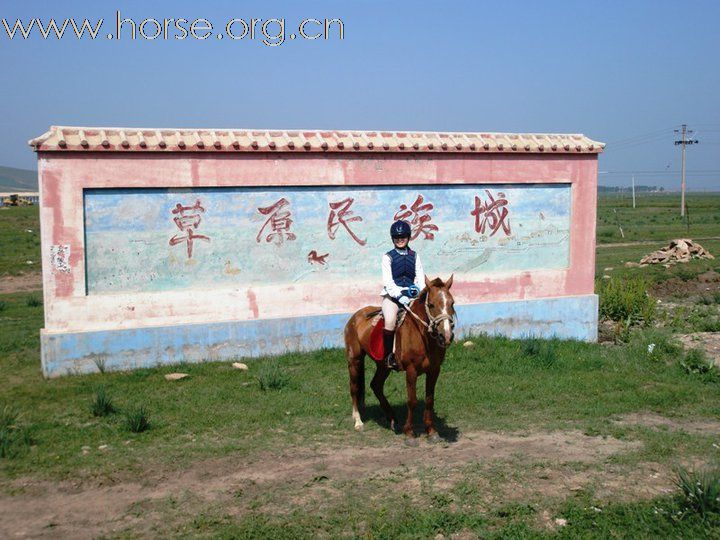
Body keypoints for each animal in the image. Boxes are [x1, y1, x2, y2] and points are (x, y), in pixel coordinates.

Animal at [344, 276, 456, 440]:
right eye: (431, 304)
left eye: (452, 303)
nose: (446, 336)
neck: (422, 336)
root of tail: (356, 315)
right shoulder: (411, 370)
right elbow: (412, 401)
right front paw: (409, 432)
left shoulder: (434, 370)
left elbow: (429, 400)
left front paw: (432, 431)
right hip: (355, 360)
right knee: (354, 387)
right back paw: (358, 421)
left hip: (383, 365)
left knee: (376, 385)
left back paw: (392, 419)